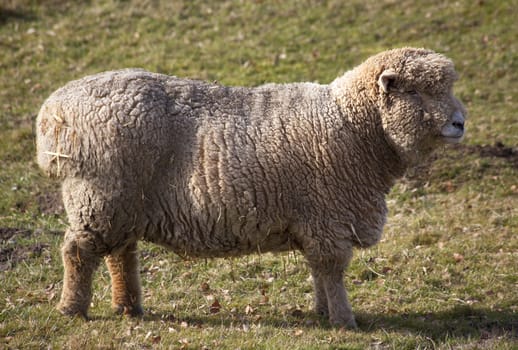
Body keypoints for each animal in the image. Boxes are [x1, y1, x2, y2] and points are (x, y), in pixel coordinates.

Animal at [35, 47, 468, 326]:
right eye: (414, 91)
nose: (460, 122)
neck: (352, 124)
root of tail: (54, 113)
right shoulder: (329, 218)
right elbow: (332, 271)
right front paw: (345, 320)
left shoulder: (315, 221)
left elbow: (318, 270)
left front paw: (322, 312)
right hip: (101, 198)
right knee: (78, 253)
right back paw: (71, 310)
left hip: (122, 205)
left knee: (120, 254)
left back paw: (128, 308)